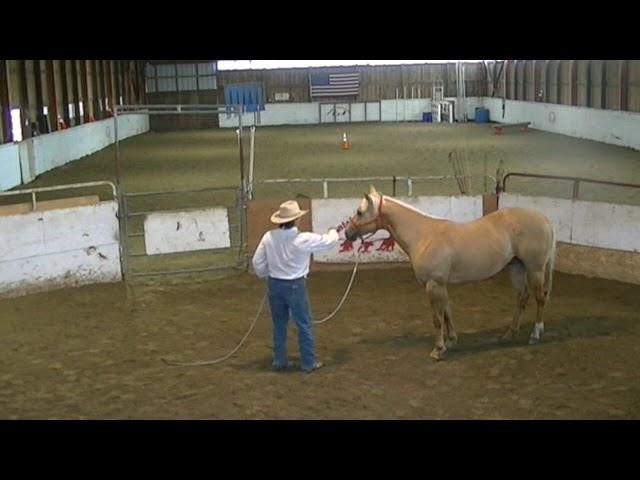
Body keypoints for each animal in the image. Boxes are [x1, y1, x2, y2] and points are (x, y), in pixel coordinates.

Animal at [344, 187, 556, 360]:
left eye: (360, 211)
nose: (347, 233)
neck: (423, 236)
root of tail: (544, 218)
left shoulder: (433, 284)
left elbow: (437, 319)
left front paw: (438, 350)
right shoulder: (441, 285)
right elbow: (447, 312)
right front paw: (452, 340)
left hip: (534, 269)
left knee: (540, 298)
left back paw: (535, 334)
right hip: (516, 267)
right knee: (522, 297)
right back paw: (510, 333)